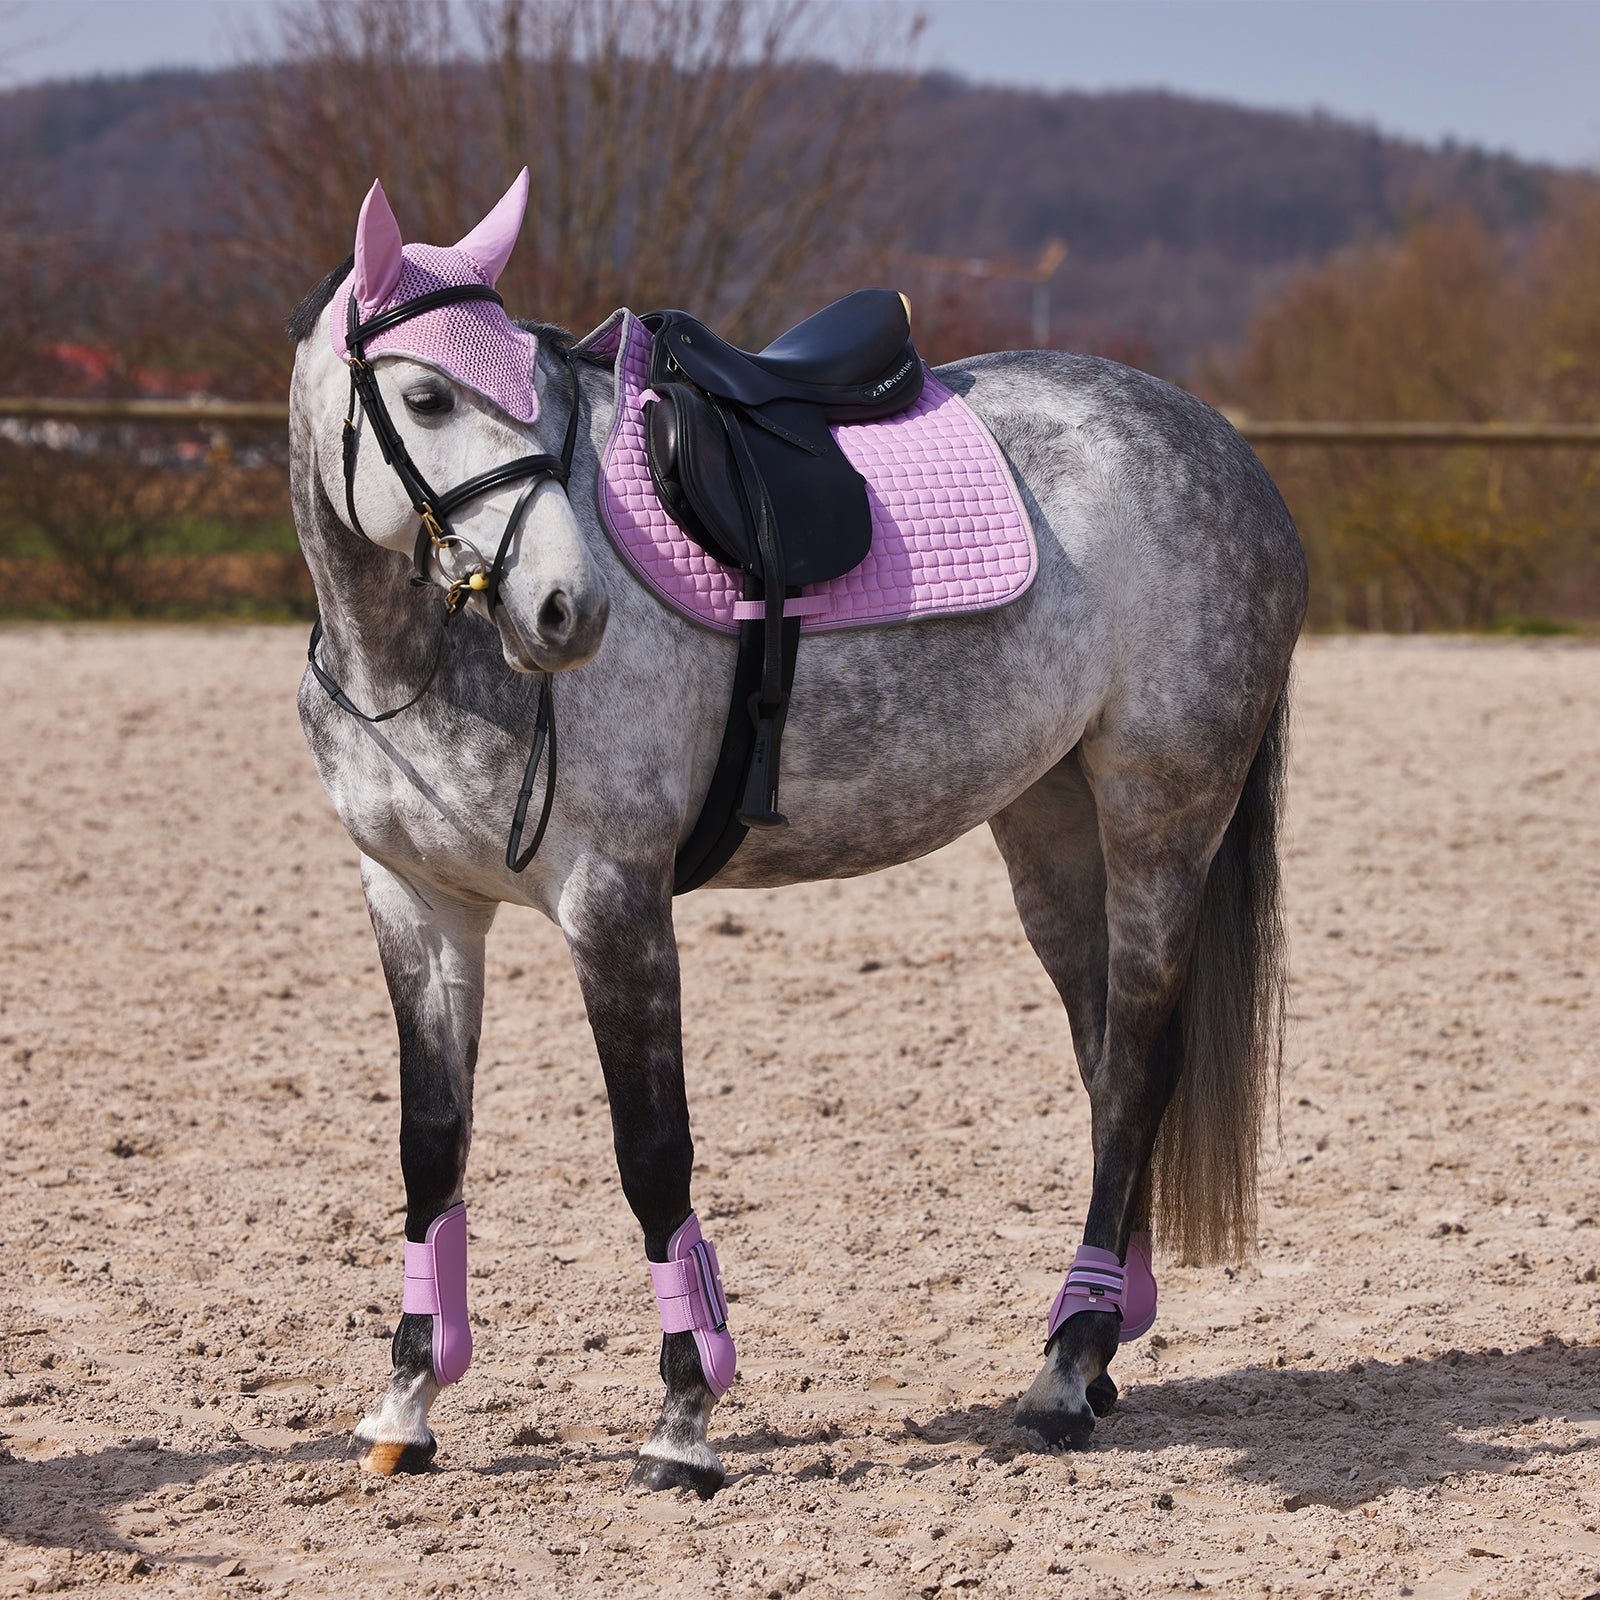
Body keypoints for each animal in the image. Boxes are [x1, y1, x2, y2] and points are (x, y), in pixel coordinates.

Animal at [285, 170, 1306, 1495]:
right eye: (425, 395)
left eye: (540, 401)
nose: (567, 611)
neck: (415, 656)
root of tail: (1223, 448)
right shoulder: (415, 901)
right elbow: (430, 1148)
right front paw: (407, 1402)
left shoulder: (612, 902)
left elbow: (651, 1150)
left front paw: (683, 1418)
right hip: (1051, 826)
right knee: (1105, 1063)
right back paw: (1096, 1345)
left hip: (1160, 816)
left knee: (1135, 1064)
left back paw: (1064, 1375)